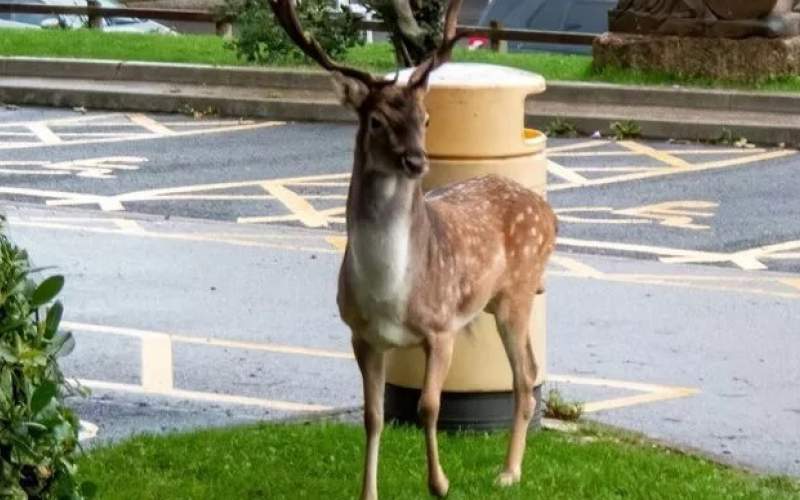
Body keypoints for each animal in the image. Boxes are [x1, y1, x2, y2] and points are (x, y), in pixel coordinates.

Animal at [268, 1, 556, 498]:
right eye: (376, 120)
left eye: (426, 119)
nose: (417, 161)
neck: (389, 292)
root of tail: (550, 214)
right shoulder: (361, 333)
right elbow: (374, 415)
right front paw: (368, 491)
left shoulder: (440, 327)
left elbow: (428, 406)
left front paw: (439, 483)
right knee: (528, 371)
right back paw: (510, 468)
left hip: (516, 294)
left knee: (524, 376)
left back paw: (508, 472)